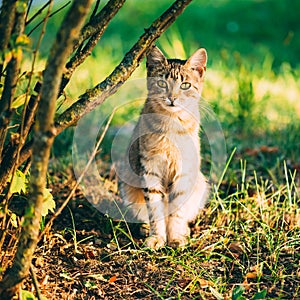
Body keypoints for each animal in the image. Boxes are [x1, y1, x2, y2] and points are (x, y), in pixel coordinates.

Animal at [119, 46, 209, 248]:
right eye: (161, 83)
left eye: (185, 85)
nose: (172, 98)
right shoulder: (150, 169)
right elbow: (155, 211)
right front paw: (158, 238)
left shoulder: (184, 172)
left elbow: (177, 212)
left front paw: (175, 237)